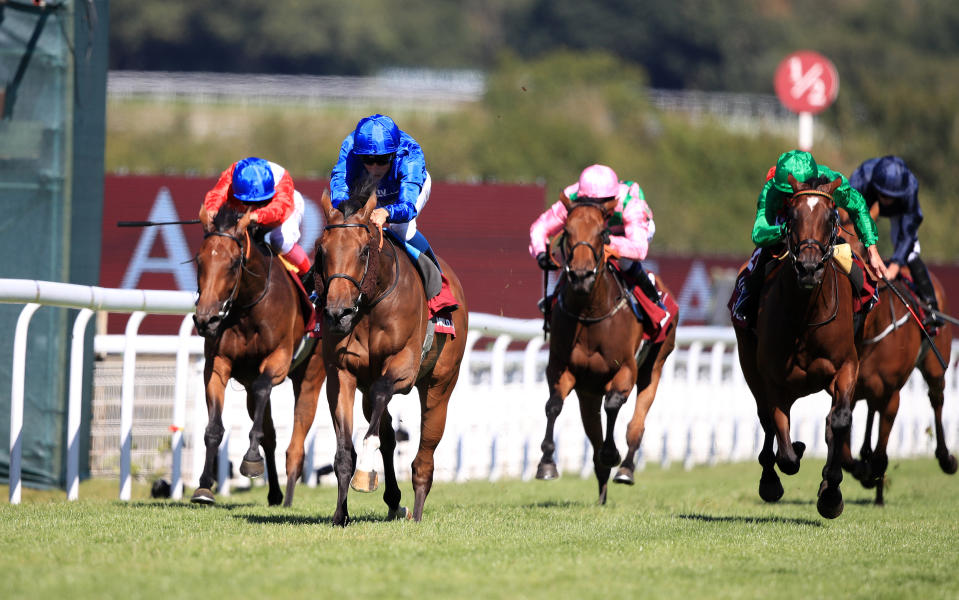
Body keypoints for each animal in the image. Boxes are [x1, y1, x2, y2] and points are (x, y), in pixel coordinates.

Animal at [191, 206, 326, 506]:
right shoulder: (218, 365)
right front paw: (204, 487)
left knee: (297, 436)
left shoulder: (278, 359)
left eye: (233, 263)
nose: (206, 320)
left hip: (311, 375)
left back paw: (288, 495)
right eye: (200, 260)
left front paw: (251, 460)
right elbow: (214, 428)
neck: (247, 308)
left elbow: (265, 389)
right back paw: (275, 493)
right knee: (271, 435)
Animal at [316, 189, 468, 524]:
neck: (370, 305)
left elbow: (381, 400)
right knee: (386, 431)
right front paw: (340, 515)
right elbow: (345, 450)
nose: (337, 313)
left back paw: (417, 511)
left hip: (440, 384)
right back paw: (395, 501)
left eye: (363, 251)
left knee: (425, 450)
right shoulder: (342, 373)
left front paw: (364, 473)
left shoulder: (404, 367)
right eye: (322, 250)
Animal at [536, 195, 680, 504]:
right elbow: (553, 405)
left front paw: (611, 454)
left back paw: (625, 468)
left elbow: (613, 405)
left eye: (602, 233)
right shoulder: (563, 369)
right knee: (593, 431)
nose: (581, 275)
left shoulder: (625, 368)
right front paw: (547, 464)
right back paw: (601, 483)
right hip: (587, 393)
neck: (591, 312)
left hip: (655, 364)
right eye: (566, 231)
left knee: (637, 422)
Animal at [740, 175, 860, 520]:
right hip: (749, 365)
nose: (808, 268)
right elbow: (784, 447)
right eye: (791, 217)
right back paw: (770, 478)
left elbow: (839, 420)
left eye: (831, 217)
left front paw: (831, 492)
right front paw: (793, 454)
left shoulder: (847, 365)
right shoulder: (773, 379)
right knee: (766, 420)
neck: (806, 315)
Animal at [836, 213, 956, 504]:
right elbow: (844, 453)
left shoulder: (892, 394)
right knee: (871, 410)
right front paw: (863, 468)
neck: (869, 332)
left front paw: (872, 473)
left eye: (863, 249)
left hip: (934, 366)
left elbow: (881, 455)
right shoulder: (850, 388)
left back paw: (945, 458)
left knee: (936, 398)